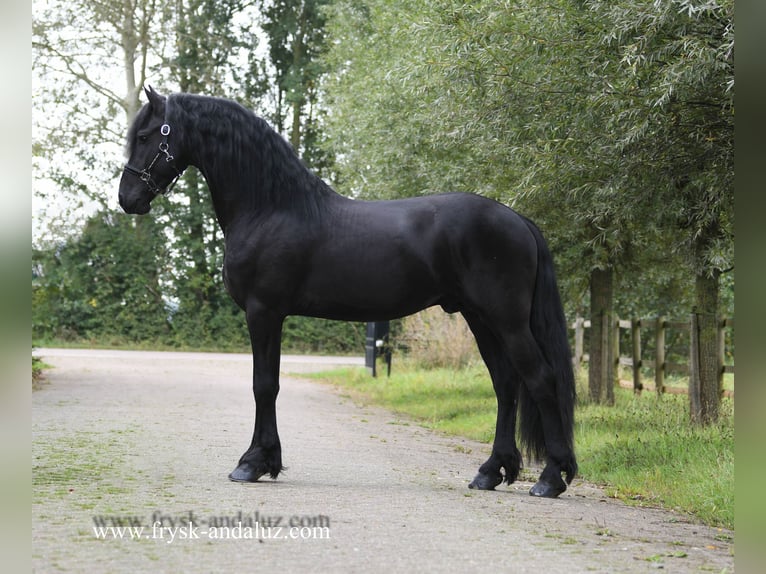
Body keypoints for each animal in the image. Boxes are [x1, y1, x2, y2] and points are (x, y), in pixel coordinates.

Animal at [120, 86, 576, 500]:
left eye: (145, 136)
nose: (127, 199)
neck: (270, 207)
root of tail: (517, 219)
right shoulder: (269, 314)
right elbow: (268, 384)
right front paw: (266, 460)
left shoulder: (263, 312)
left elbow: (264, 385)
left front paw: (252, 463)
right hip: (480, 319)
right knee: (505, 385)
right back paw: (491, 472)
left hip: (506, 320)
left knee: (539, 378)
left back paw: (550, 479)